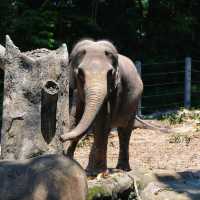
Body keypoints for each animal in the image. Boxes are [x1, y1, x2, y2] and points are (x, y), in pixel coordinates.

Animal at [60, 38, 143, 173]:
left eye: (110, 73)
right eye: (80, 74)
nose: (61, 137)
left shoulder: (115, 90)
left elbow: (102, 121)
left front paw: (97, 172)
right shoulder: (78, 92)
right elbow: (76, 117)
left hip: (135, 103)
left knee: (124, 130)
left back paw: (122, 168)